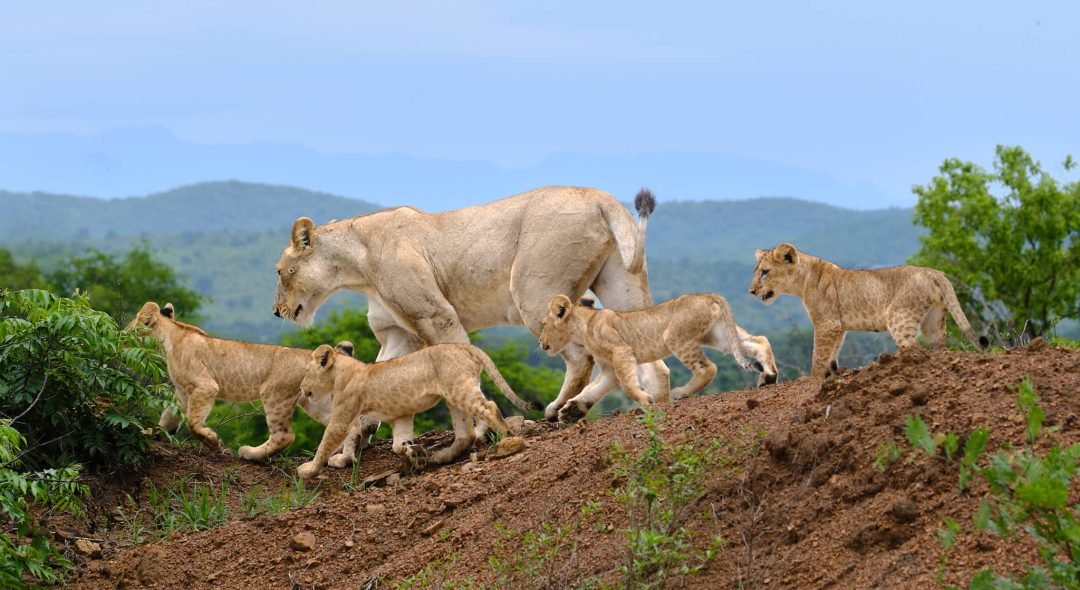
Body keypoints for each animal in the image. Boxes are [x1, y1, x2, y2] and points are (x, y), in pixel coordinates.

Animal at [129, 302, 375, 464]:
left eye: (130, 329)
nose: (122, 335)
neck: (170, 338)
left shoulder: (205, 386)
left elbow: (193, 423)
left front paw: (215, 443)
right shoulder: (182, 392)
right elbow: (168, 416)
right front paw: (155, 434)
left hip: (274, 393)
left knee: (284, 435)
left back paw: (251, 453)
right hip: (314, 400)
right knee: (350, 424)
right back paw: (344, 459)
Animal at [272, 186, 670, 423]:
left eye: (279, 272)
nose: (275, 312)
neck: (357, 267)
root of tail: (600, 196)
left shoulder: (437, 316)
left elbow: (465, 375)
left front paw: (480, 428)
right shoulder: (399, 333)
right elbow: (374, 381)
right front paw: (350, 446)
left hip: (533, 292)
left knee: (583, 358)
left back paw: (559, 409)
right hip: (622, 285)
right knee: (641, 359)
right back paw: (649, 404)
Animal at [295, 342, 533, 479]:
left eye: (306, 371)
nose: (301, 387)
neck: (340, 373)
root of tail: (465, 346)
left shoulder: (343, 416)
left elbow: (326, 443)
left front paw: (309, 469)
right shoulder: (401, 415)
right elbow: (398, 444)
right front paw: (416, 454)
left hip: (459, 388)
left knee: (490, 407)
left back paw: (504, 437)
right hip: (453, 396)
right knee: (467, 433)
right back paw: (441, 456)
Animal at [539, 294, 777, 422]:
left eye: (543, 324)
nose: (540, 343)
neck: (584, 326)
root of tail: (708, 295)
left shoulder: (621, 351)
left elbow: (627, 386)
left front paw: (646, 399)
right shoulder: (609, 368)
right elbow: (594, 389)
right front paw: (570, 411)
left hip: (675, 336)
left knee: (708, 368)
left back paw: (679, 393)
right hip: (717, 335)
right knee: (759, 341)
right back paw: (769, 377)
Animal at [748, 243, 984, 377]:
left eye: (765, 272)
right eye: (757, 271)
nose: (750, 291)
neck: (802, 280)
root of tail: (935, 272)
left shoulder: (826, 323)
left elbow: (819, 355)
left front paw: (812, 379)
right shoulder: (838, 327)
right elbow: (832, 353)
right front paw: (831, 375)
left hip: (898, 317)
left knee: (915, 348)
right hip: (933, 321)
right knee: (939, 346)